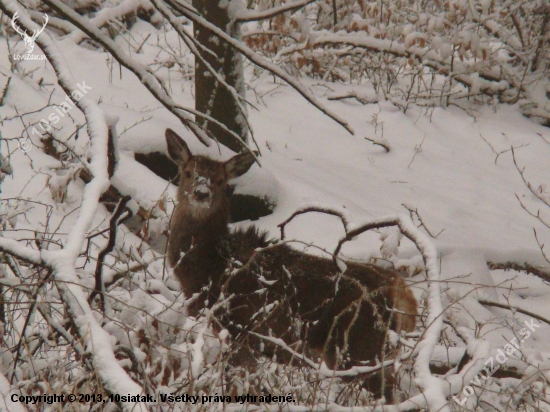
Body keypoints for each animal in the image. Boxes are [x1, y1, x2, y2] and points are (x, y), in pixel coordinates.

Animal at [165, 128, 418, 400]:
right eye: (188, 172)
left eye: (220, 180)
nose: (202, 194)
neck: (212, 266)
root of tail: (398, 290)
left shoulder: (240, 329)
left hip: (360, 348)